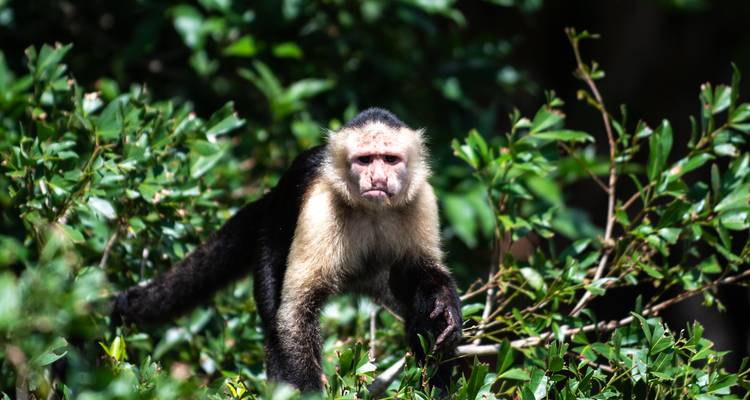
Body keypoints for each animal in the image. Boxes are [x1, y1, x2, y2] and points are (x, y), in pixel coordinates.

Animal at [111, 107, 463, 392]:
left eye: (390, 159)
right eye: (364, 160)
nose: (377, 177)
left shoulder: (422, 199)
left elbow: (421, 270)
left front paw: (444, 304)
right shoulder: (322, 207)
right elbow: (294, 313)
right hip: (269, 233)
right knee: (274, 312)